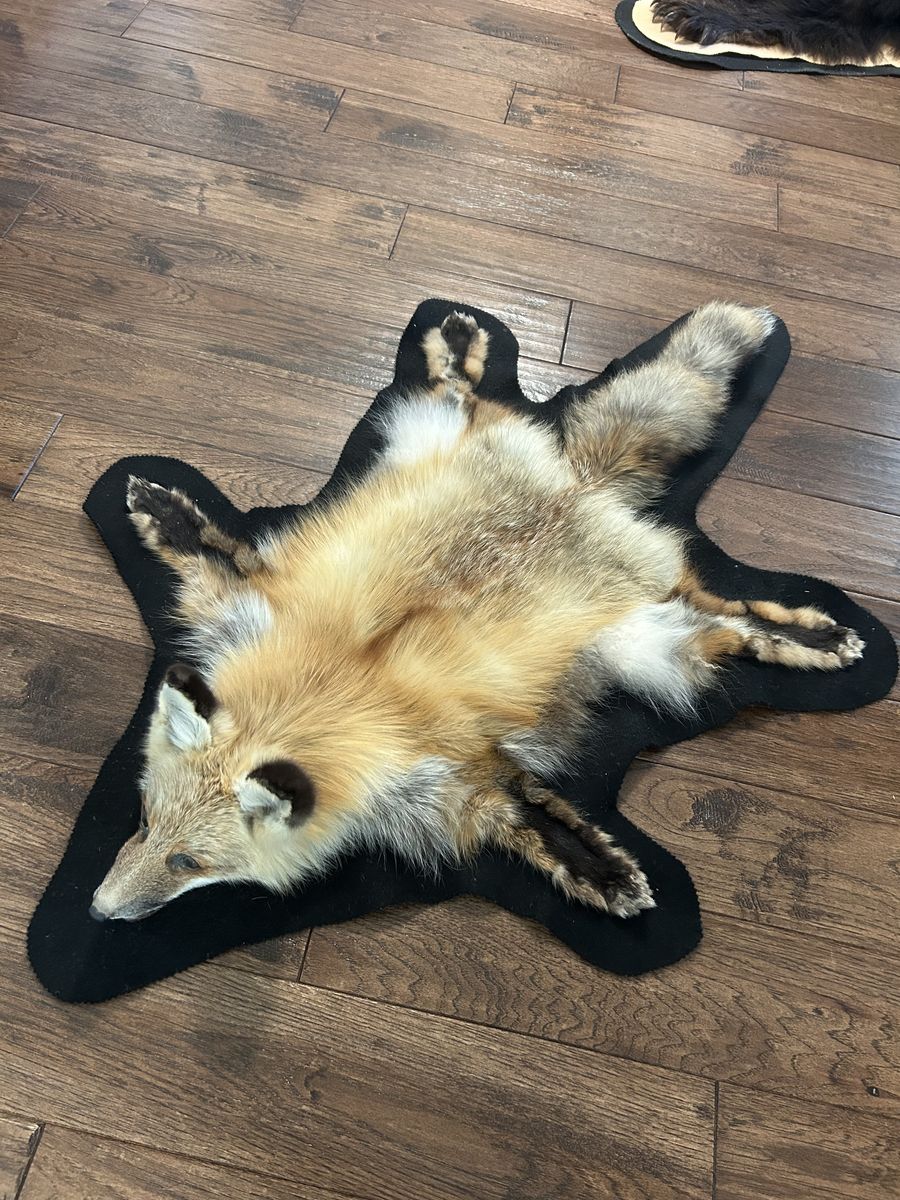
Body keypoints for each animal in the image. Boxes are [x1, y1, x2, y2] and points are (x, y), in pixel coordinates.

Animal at [90, 302, 864, 925]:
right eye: (143, 820)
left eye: (188, 864)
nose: (97, 911)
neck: (321, 696)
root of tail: (581, 487)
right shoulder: (249, 610)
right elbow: (210, 558)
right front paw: (166, 515)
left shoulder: (453, 773)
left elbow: (539, 823)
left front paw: (605, 875)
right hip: (431, 437)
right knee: (460, 396)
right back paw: (459, 349)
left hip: (654, 633)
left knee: (738, 623)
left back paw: (814, 636)